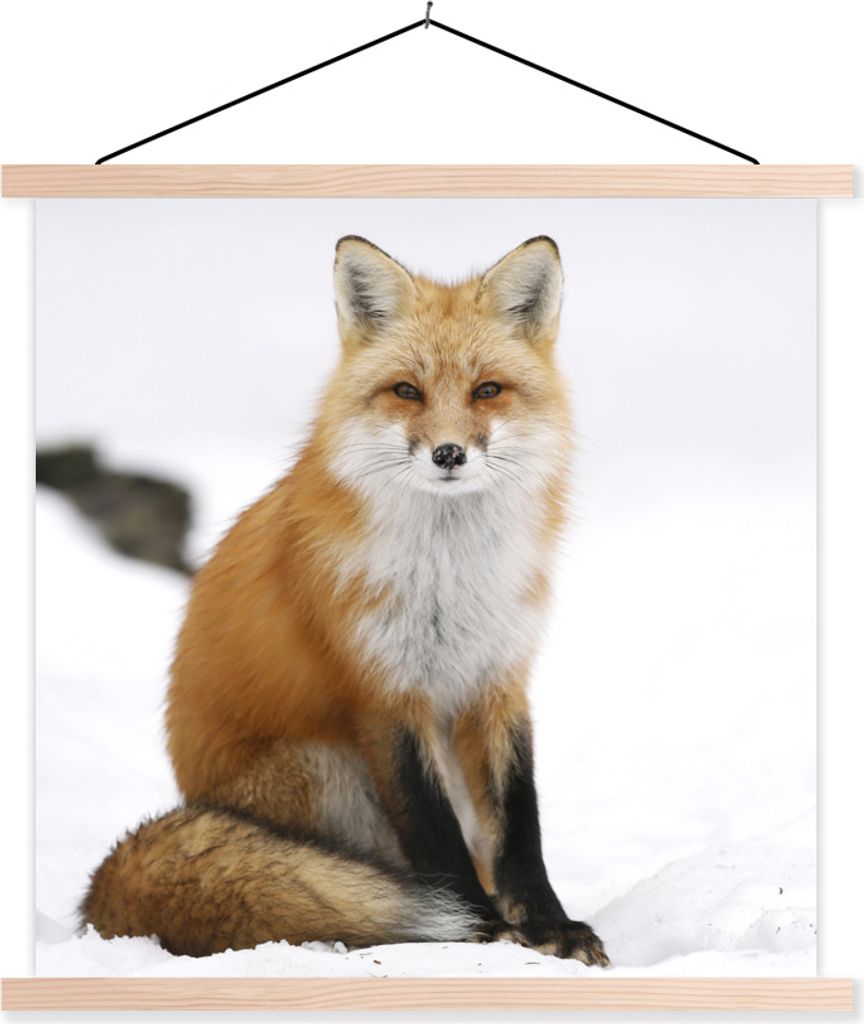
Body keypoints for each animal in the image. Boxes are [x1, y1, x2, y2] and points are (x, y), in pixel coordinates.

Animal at [81, 234, 609, 966]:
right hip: (322, 768)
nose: (449, 453)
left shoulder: (498, 679)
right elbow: (433, 833)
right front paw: (482, 929)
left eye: (487, 391)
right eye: (407, 391)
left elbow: (519, 825)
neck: (449, 576)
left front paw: (548, 926)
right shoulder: (383, 690)